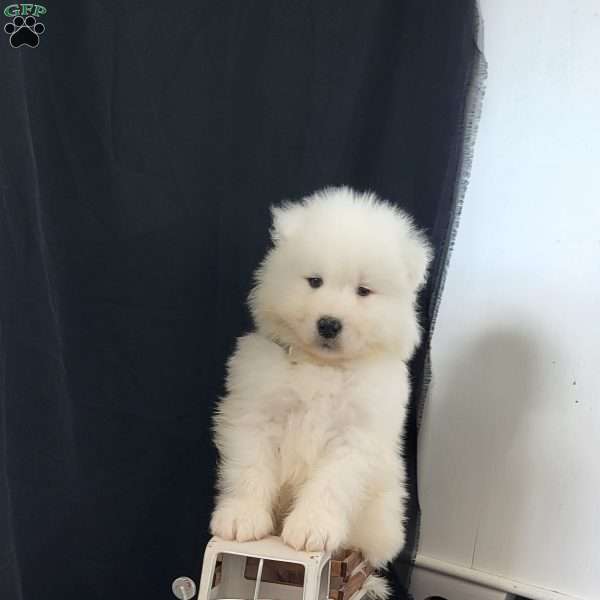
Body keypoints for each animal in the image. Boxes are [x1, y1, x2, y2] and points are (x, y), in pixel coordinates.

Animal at [211, 186, 432, 568]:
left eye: (363, 291)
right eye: (314, 281)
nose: (329, 323)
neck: (323, 367)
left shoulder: (356, 435)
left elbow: (331, 483)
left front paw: (311, 528)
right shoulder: (254, 413)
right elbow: (249, 468)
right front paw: (241, 519)